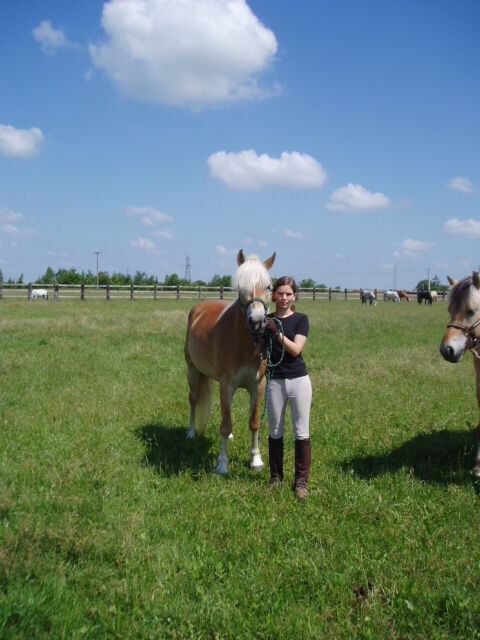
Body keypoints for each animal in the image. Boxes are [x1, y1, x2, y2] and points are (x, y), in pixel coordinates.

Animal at [184, 250, 276, 476]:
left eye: (268, 286)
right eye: (240, 287)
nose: (257, 322)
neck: (245, 345)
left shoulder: (258, 386)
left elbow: (254, 422)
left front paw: (256, 460)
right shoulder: (227, 385)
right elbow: (225, 425)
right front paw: (222, 464)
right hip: (193, 372)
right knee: (193, 400)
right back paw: (190, 432)